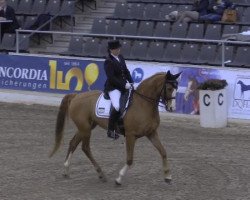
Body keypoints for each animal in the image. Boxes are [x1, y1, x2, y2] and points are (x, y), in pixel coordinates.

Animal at [49, 71, 181, 185]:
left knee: (73, 143)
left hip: (86, 127)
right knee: (85, 147)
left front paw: (168, 176)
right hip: (85, 128)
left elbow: (163, 152)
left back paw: (66, 170)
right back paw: (100, 173)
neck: (143, 104)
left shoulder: (151, 133)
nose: (172, 108)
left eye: (177, 88)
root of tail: (76, 96)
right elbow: (130, 159)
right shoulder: (130, 135)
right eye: (169, 88)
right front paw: (119, 178)